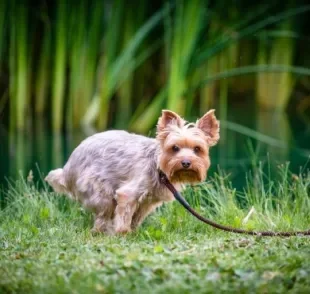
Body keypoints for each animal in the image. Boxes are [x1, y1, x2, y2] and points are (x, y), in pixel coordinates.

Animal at [45, 109, 220, 233]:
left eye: (197, 149)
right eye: (174, 148)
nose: (185, 162)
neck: (159, 167)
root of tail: (68, 168)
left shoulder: (147, 202)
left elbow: (136, 218)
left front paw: (133, 232)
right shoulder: (128, 194)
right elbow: (124, 216)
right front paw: (123, 233)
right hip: (99, 191)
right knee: (103, 215)